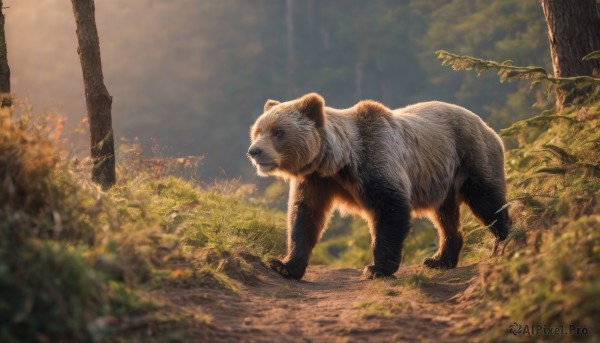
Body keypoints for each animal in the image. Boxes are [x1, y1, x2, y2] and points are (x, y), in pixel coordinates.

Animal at [246, 93, 508, 280]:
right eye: (257, 131)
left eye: (278, 132)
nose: (254, 151)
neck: (337, 163)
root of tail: (486, 124)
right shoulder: (316, 180)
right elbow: (305, 216)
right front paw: (284, 265)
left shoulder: (376, 160)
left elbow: (390, 209)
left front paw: (377, 268)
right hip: (442, 179)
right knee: (445, 217)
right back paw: (439, 259)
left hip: (471, 156)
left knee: (487, 200)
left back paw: (503, 241)